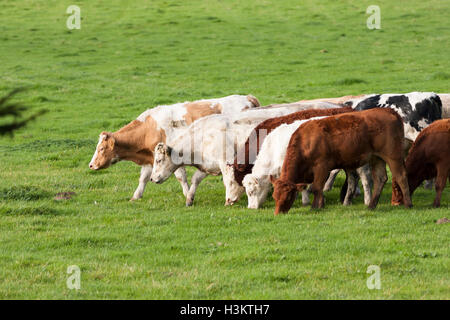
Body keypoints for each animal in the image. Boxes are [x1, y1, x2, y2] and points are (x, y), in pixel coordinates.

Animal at [87, 94, 260, 201]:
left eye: (101, 149)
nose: (91, 165)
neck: (149, 128)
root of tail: (247, 97)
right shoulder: (151, 159)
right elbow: (144, 178)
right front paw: (135, 196)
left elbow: (180, 177)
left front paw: (187, 193)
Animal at [148, 101, 342, 205]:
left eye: (158, 160)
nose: (152, 178)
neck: (203, 135)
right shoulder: (209, 165)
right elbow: (196, 179)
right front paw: (189, 199)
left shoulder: (226, 162)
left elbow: (228, 181)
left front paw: (230, 199)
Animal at [268, 108, 414, 215]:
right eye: (274, 197)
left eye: (288, 197)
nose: (278, 213)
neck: (306, 141)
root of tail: (388, 111)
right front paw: (320, 205)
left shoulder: (322, 166)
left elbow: (316, 187)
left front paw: (315, 207)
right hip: (376, 158)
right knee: (380, 179)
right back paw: (371, 206)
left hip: (393, 156)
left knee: (401, 176)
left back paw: (408, 204)